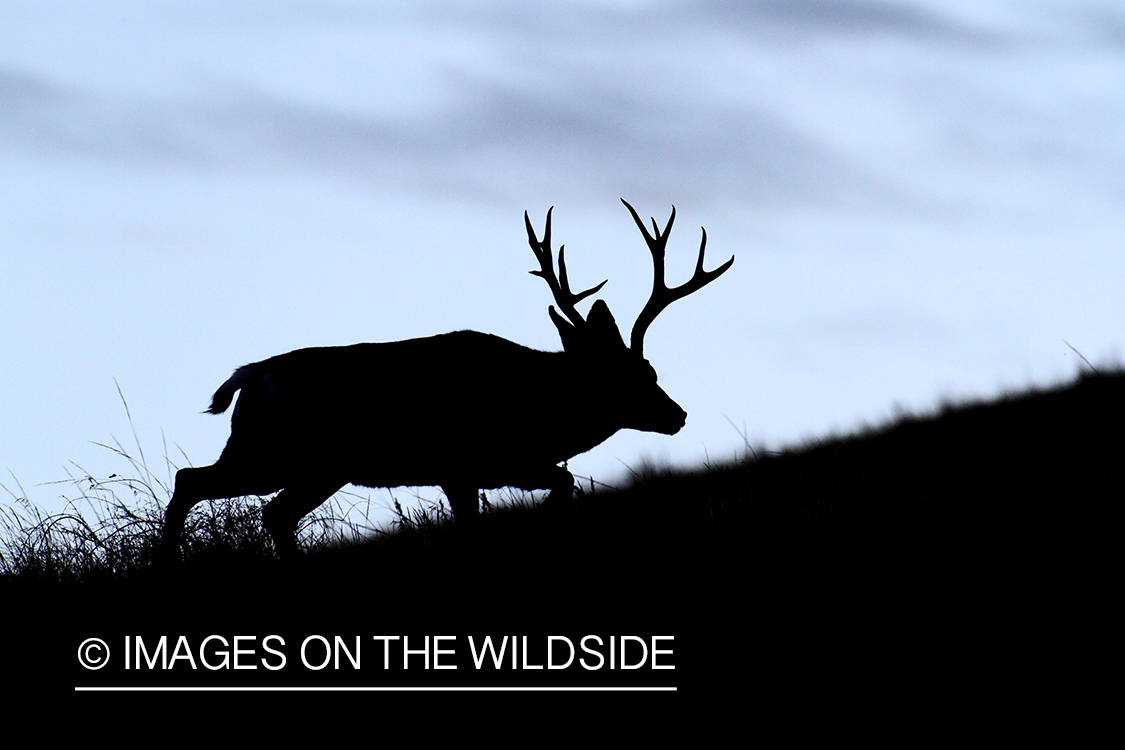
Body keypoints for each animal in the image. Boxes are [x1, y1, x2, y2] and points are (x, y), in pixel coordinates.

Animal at [160, 200, 733, 557]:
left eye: (652, 370)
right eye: (629, 376)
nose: (678, 414)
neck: (537, 406)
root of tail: (250, 375)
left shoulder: (496, 468)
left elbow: (560, 483)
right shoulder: (463, 463)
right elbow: (518, 505)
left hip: (312, 466)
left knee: (266, 511)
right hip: (276, 453)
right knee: (197, 483)